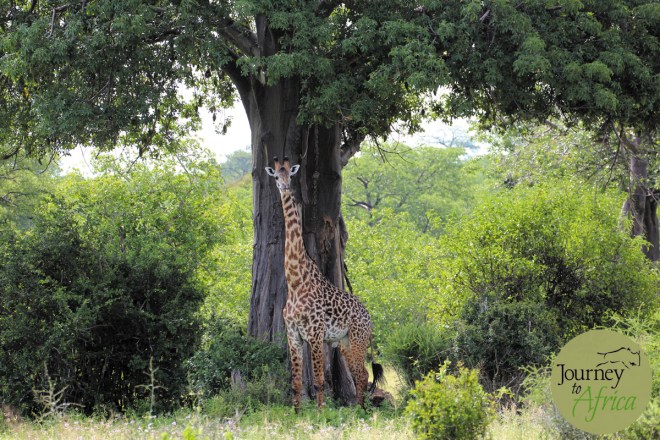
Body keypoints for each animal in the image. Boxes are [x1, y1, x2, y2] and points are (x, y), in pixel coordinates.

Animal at [265, 156, 383, 412]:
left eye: (290, 175)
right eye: (276, 176)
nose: (285, 187)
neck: (296, 282)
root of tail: (369, 316)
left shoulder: (316, 334)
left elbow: (319, 380)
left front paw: (320, 414)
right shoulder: (294, 336)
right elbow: (296, 382)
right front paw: (297, 413)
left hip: (357, 339)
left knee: (362, 374)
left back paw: (362, 411)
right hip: (344, 342)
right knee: (360, 374)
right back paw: (359, 410)